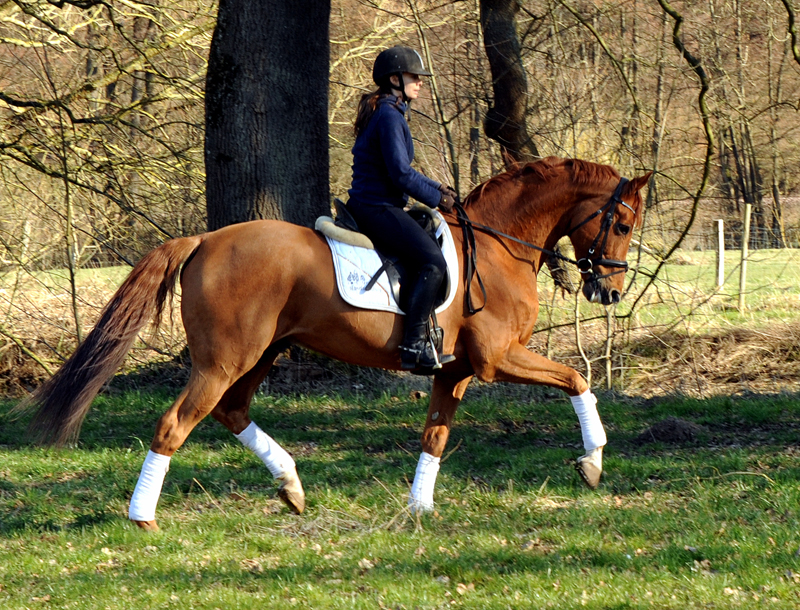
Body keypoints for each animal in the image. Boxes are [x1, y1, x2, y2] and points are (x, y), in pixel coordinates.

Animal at [23, 156, 648, 528]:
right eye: (621, 224)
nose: (610, 291)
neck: (498, 246)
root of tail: (204, 239)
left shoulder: (454, 371)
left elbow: (435, 436)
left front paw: (419, 506)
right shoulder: (497, 359)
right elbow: (577, 379)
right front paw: (592, 461)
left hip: (261, 354)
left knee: (232, 410)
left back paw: (291, 485)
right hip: (226, 359)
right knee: (176, 424)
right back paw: (143, 517)